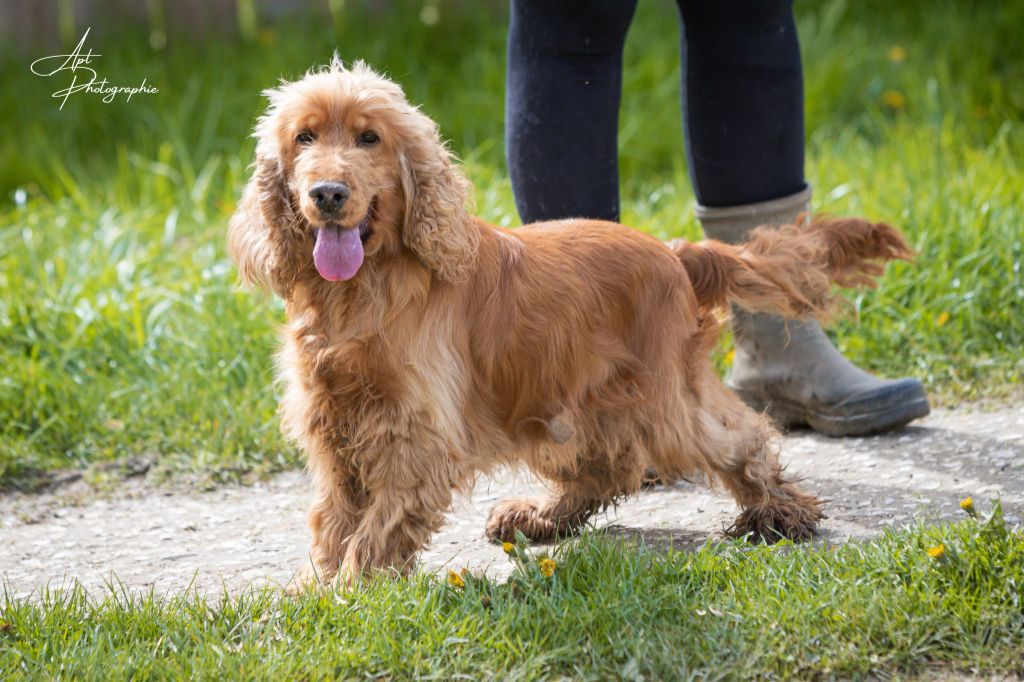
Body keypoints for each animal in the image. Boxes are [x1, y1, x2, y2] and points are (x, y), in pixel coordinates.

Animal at [226, 59, 913, 589]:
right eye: (304, 138)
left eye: (368, 138)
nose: (328, 193)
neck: (363, 291)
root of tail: (675, 253)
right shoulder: (334, 424)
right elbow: (334, 517)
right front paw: (315, 588)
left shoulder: (414, 433)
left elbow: (379, 523)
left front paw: (350, 590)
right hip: (560, 404)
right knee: (605, 468)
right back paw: (538, 516)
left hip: (660, 400)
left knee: (739, 436)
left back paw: (780, 514)